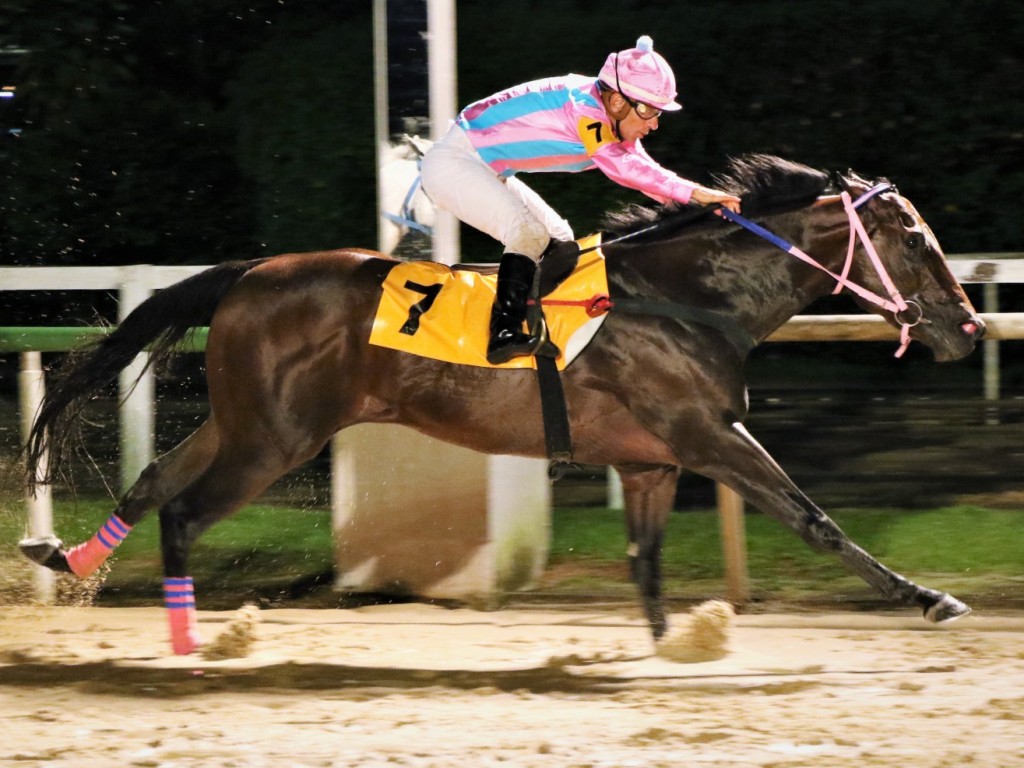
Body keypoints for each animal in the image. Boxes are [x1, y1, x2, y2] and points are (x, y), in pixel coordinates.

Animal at [22, 154, 983, 655]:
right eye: (916, 241)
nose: (967, 329)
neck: (689, 297)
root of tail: (248, 272)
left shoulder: (651, 459)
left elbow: (646, 562)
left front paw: (673, 642)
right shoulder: (707, 434)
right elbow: (815, 518)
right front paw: (929, 597)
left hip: (246, 422)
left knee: (152, 478)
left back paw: (68, 560)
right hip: (275, 441)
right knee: (182, 511)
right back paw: (193, 643)